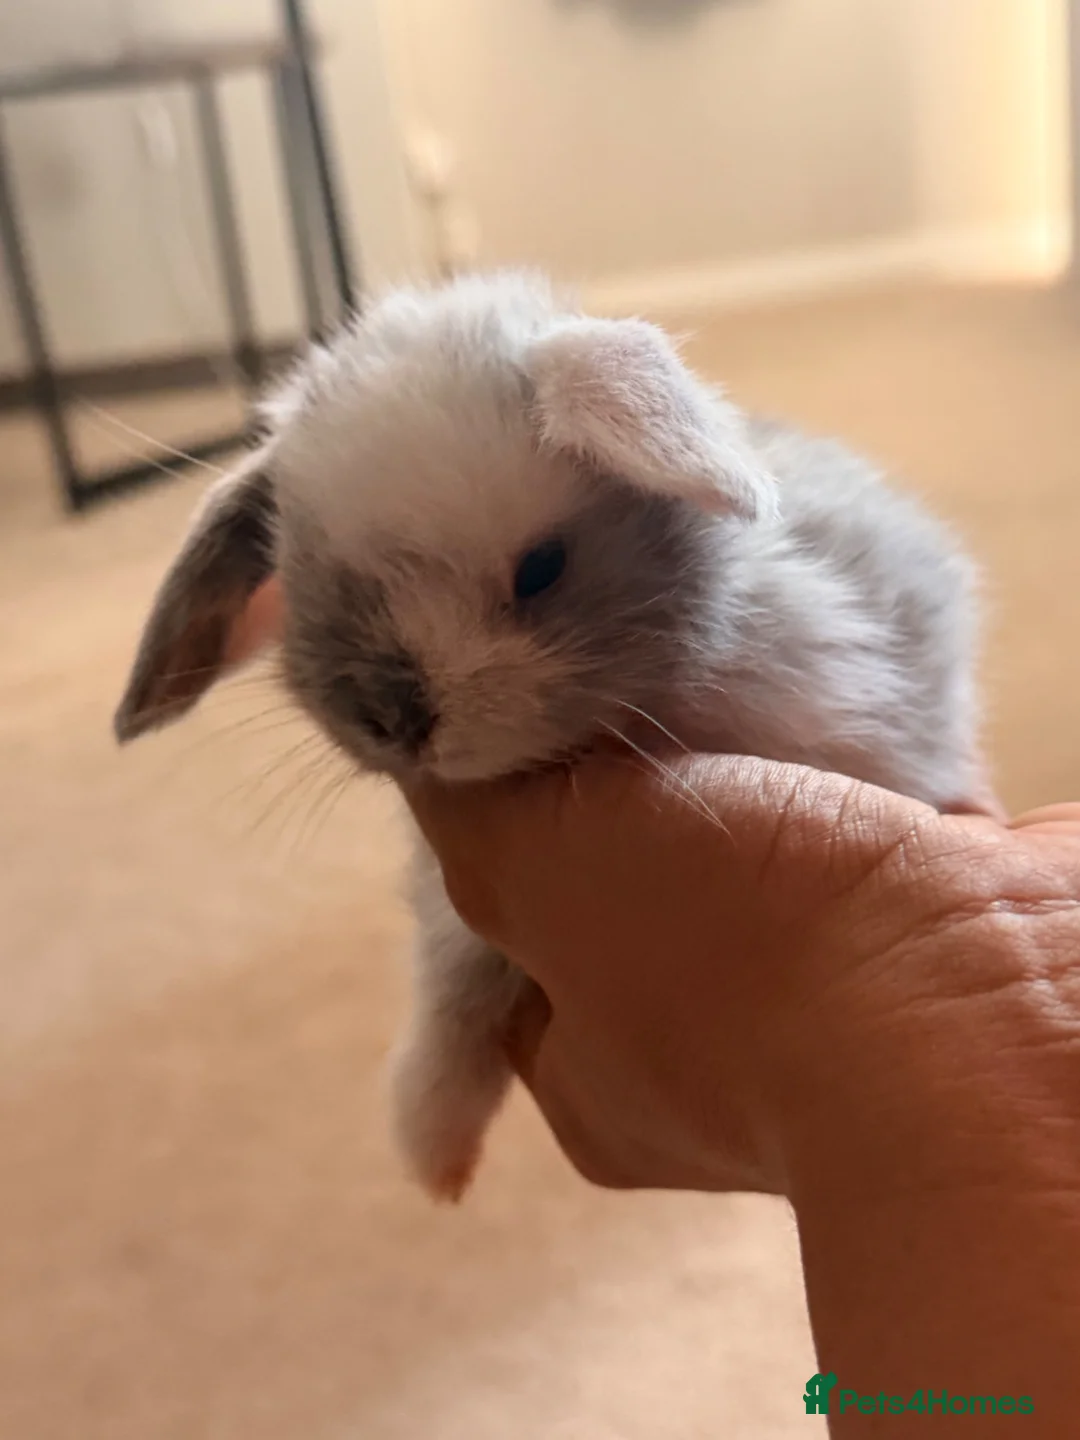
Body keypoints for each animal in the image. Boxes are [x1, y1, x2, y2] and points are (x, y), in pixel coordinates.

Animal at [114, 270, 994, 1201]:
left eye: (541, 569)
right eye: (308, 575)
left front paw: (430, 1157)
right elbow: (454, 994)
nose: (396, 717)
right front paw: (434, 1156)